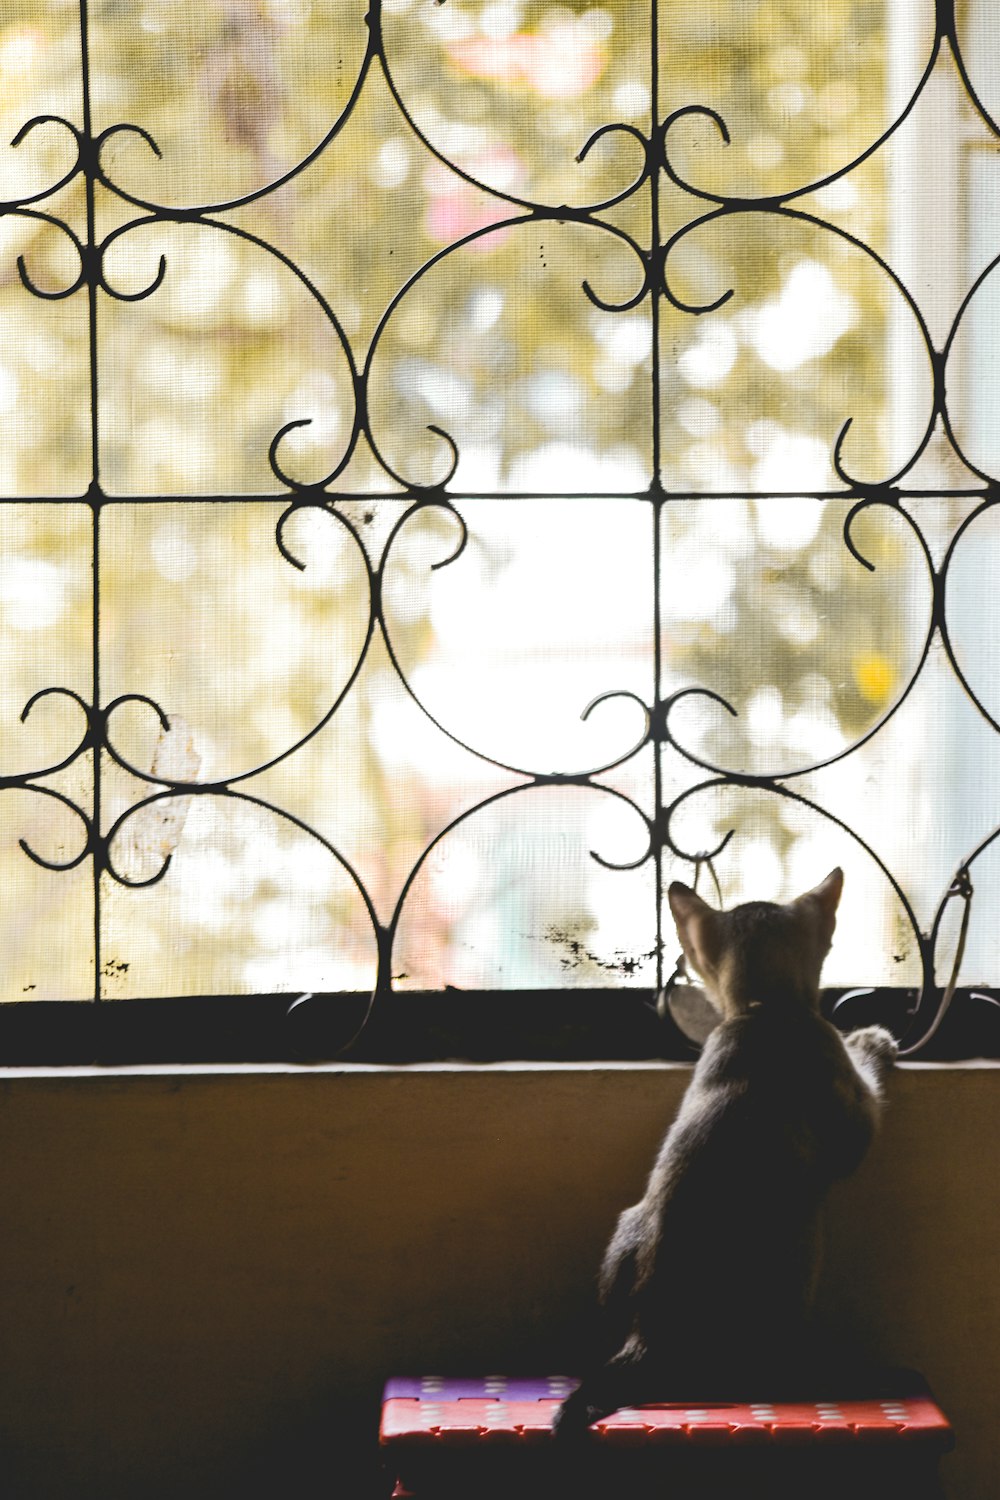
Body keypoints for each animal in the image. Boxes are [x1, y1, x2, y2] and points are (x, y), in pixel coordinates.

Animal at [554, 870, 899, 1440]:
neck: (764, 1010)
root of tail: (646, 1337)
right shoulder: (856, 1125)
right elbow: (866, 1074)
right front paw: (873, 1039)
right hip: (801, 1256)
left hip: (627, 1225)